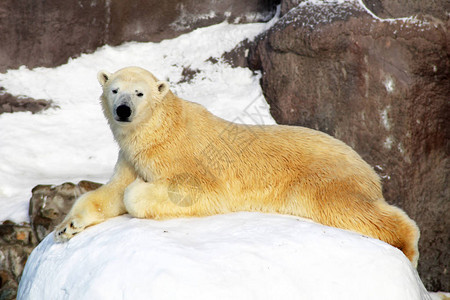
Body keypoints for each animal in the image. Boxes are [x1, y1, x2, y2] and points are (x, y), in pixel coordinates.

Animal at [55, 65, 418, 264]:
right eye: (114, 89)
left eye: (139, 93)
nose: (123, 110)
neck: (160, 130)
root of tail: (366, 166)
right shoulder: (131, 157)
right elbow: (110, 192)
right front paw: (67, 226)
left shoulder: (188, 157)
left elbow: (185, 190)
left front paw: (142, 191)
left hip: (322, 179)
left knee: (350, 209)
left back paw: (406, 245)